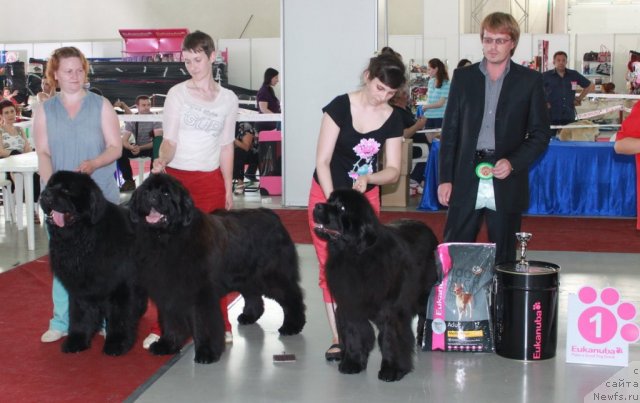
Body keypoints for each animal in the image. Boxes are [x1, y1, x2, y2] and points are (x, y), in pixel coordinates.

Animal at [38, 172, 146, 356]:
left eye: (67, 190)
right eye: (50, 186)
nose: (44, 194)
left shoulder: (121, 286)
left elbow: (120, 316)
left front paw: (117, 343)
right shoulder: (81, 288)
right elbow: (79, 315)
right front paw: (77, 340)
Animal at [129, 175, 306, 364]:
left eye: (166, 193)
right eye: (146, 191)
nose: (151, 197)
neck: (167, 239)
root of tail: (273, 215)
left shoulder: (201, 295)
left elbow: (204, 324)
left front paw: (206, 352)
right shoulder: (169, 293)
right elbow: (171, 323)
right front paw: (167, 345)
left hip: (271, 275)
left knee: (292, 296)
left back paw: (292, 326)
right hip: (246, 275)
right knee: (254, 296)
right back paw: (249, 316)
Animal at [312, 189, 438, 382]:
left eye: (341, 207)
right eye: (329, 200)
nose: (317, 205)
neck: (353, 254)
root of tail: (426, 226)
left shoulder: (390, 310)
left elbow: (390, 339)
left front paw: (391, 370)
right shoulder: (350, 305)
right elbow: (354, 334)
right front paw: (353, 363)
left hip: (423, 292)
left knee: (425, 313)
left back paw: (423, 337)